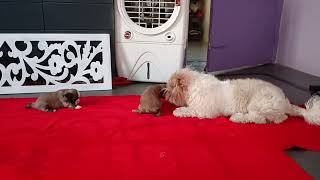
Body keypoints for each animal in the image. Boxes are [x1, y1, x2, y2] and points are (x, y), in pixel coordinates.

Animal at [165, 68, 320, 125]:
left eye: (170, 87)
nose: (164, 94)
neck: (194, 85)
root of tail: (285, 102)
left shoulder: (205, 111)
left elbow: (190, 110)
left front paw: (179, 111)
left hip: (258, 104)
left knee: (258, 118)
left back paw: (237, 117)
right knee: (280, 118)